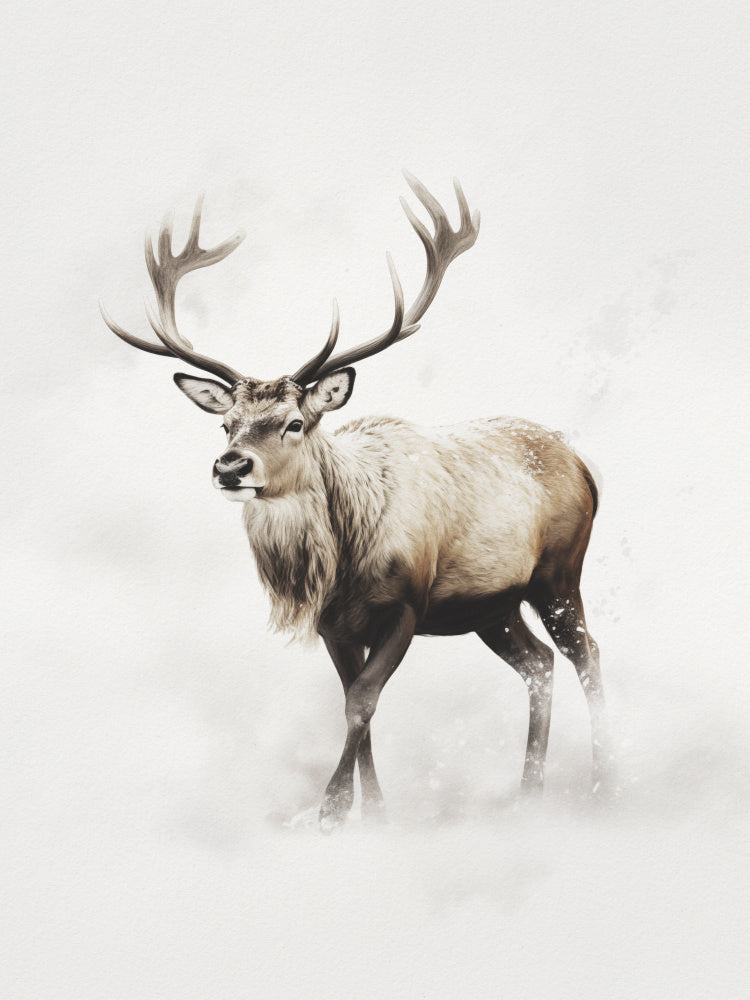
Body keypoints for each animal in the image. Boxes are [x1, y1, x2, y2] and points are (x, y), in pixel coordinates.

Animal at [102, 174, 612, 830]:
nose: (231, 466)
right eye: (227, 424)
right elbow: (354, 701)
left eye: (294, 423)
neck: (341, 563)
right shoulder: (334, 624)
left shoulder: (407, 604)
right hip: (491, 607)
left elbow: (362, 702)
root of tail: (583, 465)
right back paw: (529, 792)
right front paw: (374, 813)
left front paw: (330, 812)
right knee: (540, 664)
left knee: (586, 653)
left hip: (559, 573)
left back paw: (604, 782)